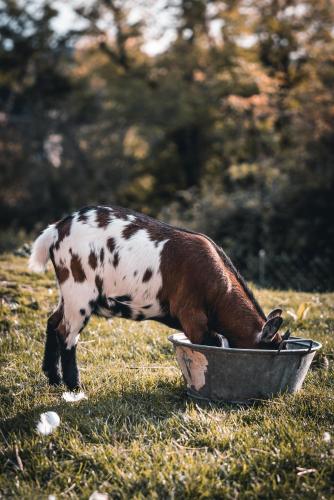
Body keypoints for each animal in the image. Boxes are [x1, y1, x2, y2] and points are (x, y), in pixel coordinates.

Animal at [28, 205, 288, 388]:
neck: (219, 290)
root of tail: (57, 229)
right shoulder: (192, 316)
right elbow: (210, 345)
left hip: (68, 293)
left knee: (53, 322)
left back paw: (54, 378)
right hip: (79, 290)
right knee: (67, 333)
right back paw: (74, 387)